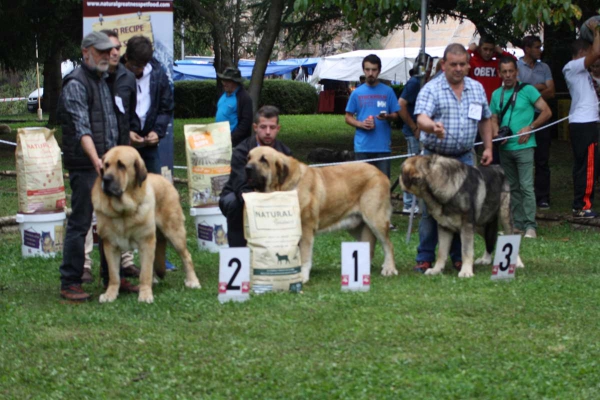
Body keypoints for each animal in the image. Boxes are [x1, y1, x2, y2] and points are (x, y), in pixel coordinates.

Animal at [90, 145, 200, 302]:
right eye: (106, 165)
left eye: (121, 165)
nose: (106, 179)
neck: (123, 210)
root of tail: (165, 179)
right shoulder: (110, 245)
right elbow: (114, 275)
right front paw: (110, 294)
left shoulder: (146, 241)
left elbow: (145, 272)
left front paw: (145, 294)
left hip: (174, 233)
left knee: (186, 257)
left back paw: (192, 281)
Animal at [245, 145, 398, 282]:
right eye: (249, 157)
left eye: (264, 160)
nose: (247, 168)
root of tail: (380, 173)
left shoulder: (306, 229)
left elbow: (305, 255)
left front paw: (302, 276)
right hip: (356, 225)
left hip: (375, 220)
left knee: (388, 245)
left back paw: (389, 268)